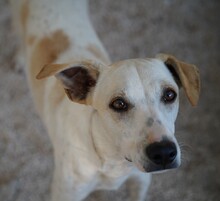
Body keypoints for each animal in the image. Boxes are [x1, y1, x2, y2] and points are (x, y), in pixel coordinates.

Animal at [9, 0, 199, 201]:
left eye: (170, 95)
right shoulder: (65, 193)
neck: (114, 163)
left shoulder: (140, 182)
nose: (163, 152)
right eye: (119, 104)